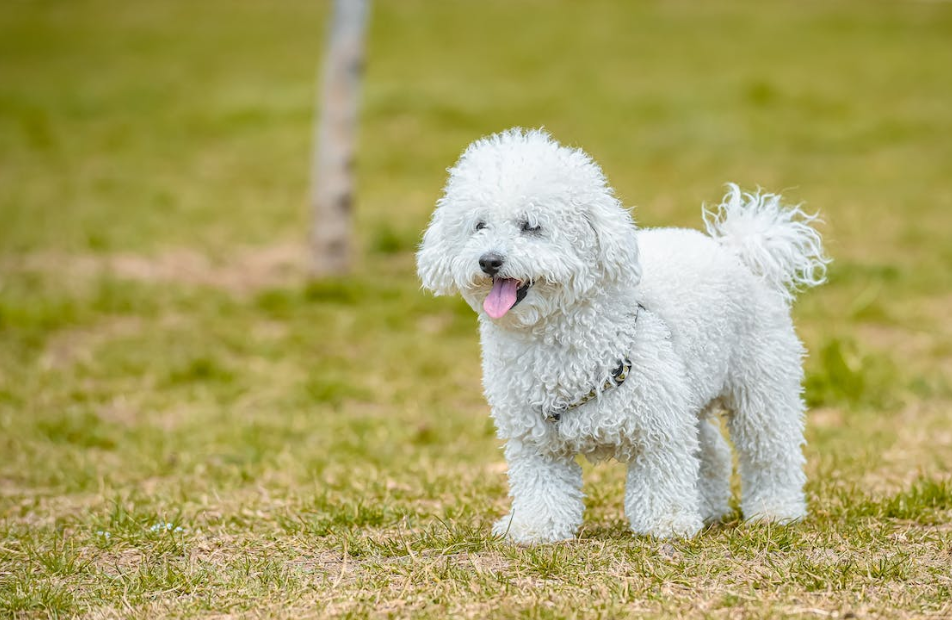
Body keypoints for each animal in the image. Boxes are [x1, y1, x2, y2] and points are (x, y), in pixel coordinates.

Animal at [414, 127, 824, 544]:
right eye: (479, 225)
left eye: (531, 225)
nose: (489, 260)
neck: (556, 338)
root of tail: (739, 254)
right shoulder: (535, 440)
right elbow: (542, 486)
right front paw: (534, 527)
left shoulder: (659, 427)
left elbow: (663, 476)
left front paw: (666, 523)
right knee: (712, 451)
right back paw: (708, 508)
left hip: (760, 384)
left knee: (769, 449)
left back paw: (776, 510)